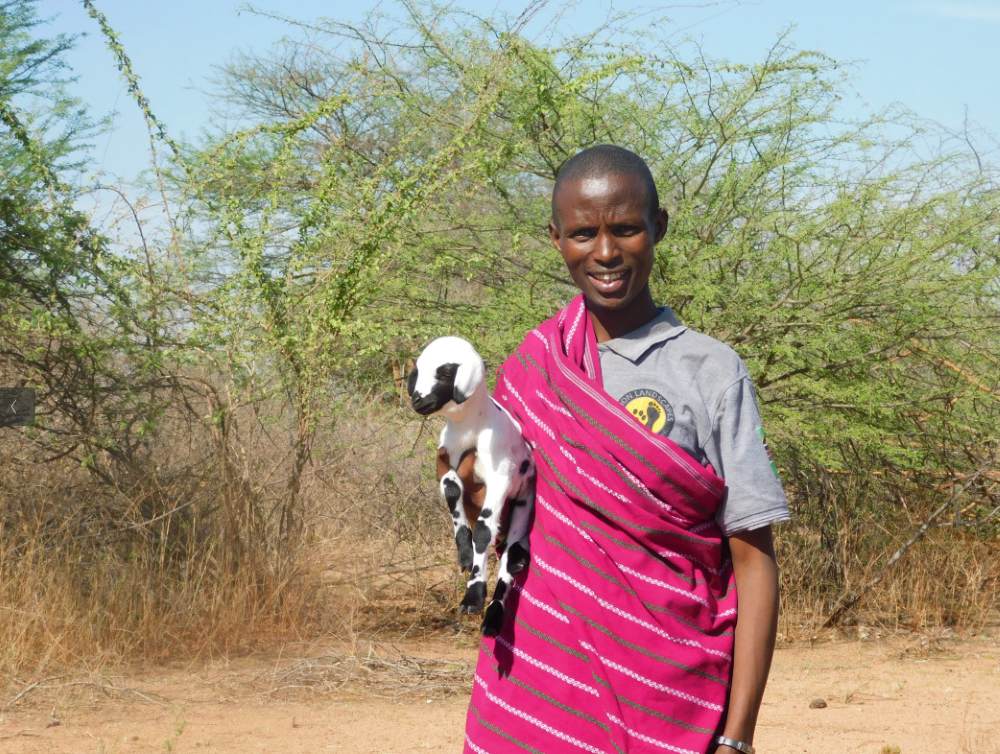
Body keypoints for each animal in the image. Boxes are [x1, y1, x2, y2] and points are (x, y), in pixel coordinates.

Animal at [407, 336, 534, 636]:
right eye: (418, 369)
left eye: (445, 372)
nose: (418, 399)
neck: (470, 429)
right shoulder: (445, 463)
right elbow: (453, 490)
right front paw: (465, 553)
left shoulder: (501, 478)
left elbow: (484, 530)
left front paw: (473, 597)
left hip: (522, 508)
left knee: (508, 561)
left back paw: (493, 617)